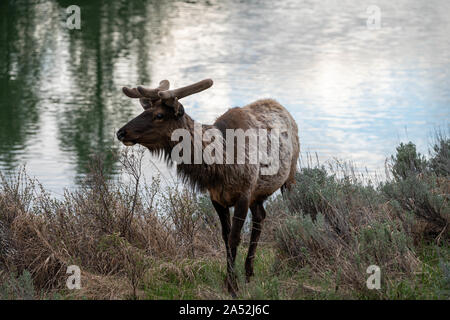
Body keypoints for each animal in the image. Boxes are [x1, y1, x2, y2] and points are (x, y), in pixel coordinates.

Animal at [117, 79, 298, 296]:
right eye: (146, 110)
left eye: (159, 115)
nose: (121, 132)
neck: (220, 165)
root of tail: (281, 106)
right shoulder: (217, 198)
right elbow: (225, 237)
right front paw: (229, 280)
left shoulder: (244, 194)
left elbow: (234, 238)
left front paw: (232, 286)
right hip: (258, 194)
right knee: (261, 216)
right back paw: (249, 272)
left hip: (290, 175)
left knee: (289, 212)